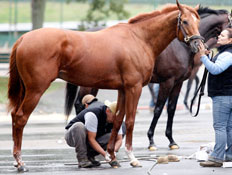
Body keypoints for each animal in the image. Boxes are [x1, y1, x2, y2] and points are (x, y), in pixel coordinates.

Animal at [8, 1, 202, 171]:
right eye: (185, 21)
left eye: (197, 20)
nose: (197, 44)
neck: (139, 39)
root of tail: (23, 38)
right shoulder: (134, 88)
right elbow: (130, 121)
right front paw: (132, 158)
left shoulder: (123, 90)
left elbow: (117, 120)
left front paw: (112, 157)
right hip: (36, 90)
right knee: (21, 118)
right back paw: (20, 163)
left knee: (15, 116)